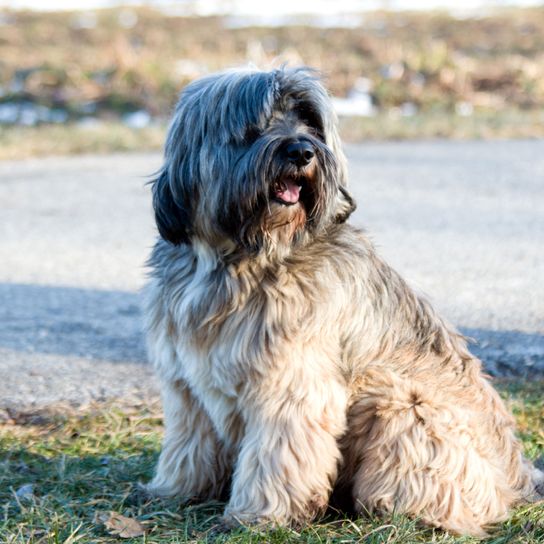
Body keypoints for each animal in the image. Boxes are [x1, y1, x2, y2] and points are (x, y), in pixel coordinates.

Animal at [142, 65, 540, 536]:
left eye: (310, 122)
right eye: (255, 124)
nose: (301, 151)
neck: (238, 259)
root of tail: (516, 478)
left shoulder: (293, 388)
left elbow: (277, 457)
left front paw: (260, 516)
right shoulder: (186, 386)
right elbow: (189, 443)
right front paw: (175, 490)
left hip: (403, 404)